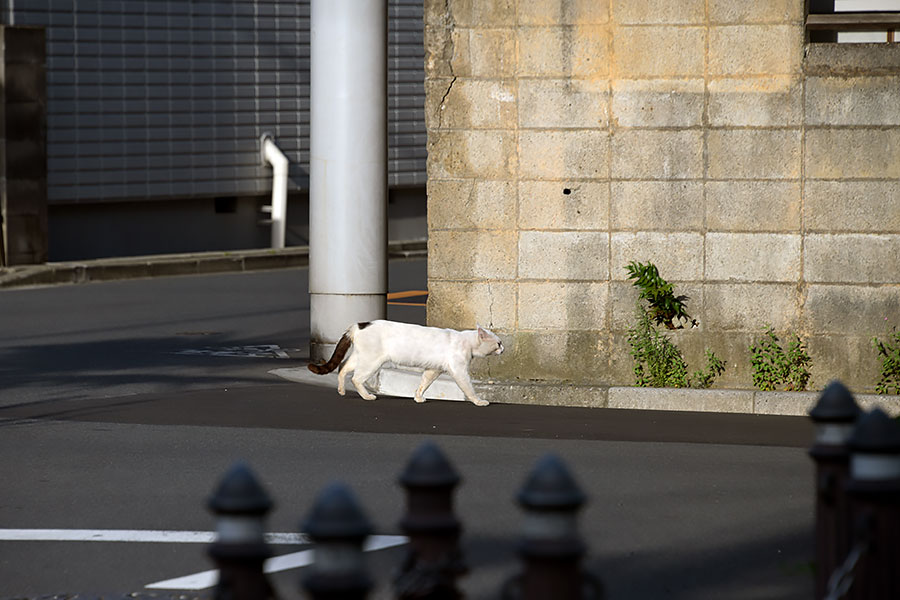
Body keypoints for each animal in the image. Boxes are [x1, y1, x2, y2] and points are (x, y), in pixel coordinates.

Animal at [308, 318, 506, 408]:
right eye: (498, 343)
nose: (503, 349)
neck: (467, 341)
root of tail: (358, 325)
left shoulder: (433, 370)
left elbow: (423, 383)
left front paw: (418, 397)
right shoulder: (459, 371)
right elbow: (469, 388)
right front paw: (479, 401)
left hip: (360, 357)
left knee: (342, 368)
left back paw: (341, 390)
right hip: (372, 361)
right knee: (356, 378)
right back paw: (367, 396)